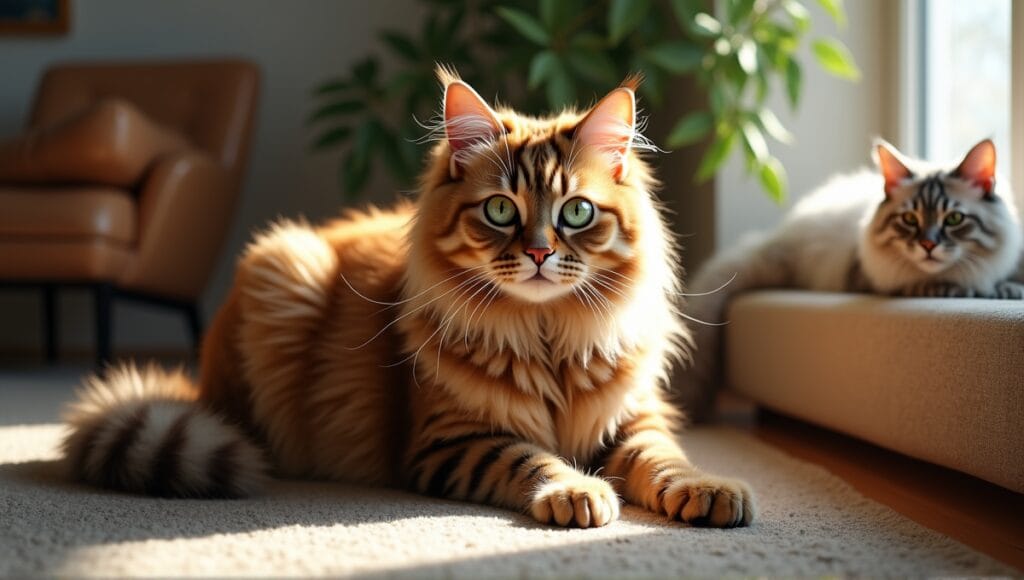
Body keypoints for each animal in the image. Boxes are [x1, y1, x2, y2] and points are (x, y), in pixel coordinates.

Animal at [61, 70, 753, 528]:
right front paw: (578, 493)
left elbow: (665, 460)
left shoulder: (636, 417)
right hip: (283, 269)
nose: (537, 253)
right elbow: (533, 459)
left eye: (577, 212)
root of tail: (199, 384)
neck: (548, 335)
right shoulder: (450, 442)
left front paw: (710, 490)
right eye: (500, 210)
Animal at [679, 138, 1024, 420]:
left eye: (953, 219)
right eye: (909, 220)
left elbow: (1001, 279)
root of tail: (780, 236)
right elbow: (937, 282)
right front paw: (968, 287)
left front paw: (1006, 289)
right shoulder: (870, 275)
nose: (928, 245)